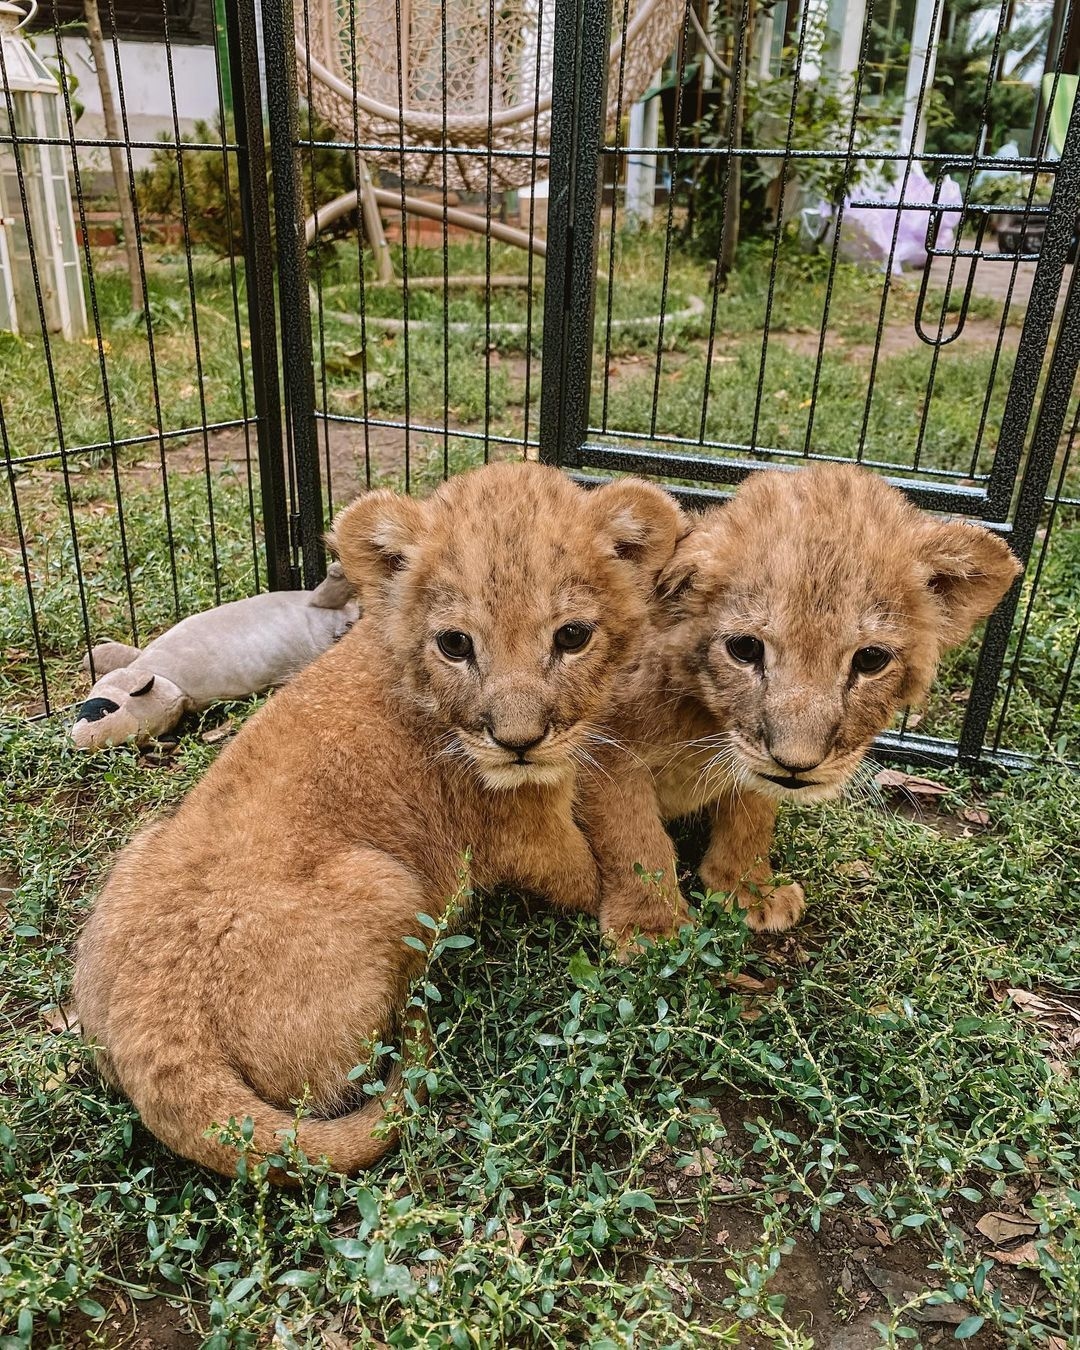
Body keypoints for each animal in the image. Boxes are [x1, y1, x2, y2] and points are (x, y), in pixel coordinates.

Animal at [73, 462, 682, 1178]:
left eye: (572, 637)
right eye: (455, 644)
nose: (518, 742)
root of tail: (155, 1032)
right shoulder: (524, 832)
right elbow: (584, 873)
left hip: (142, 847)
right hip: (387, 881)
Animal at [580, 463, 1022, 938]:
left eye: (870, 659)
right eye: (745, 649)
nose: (796, 764)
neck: (708, 719)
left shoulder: (752, 761)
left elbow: (753, 816)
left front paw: (750, 889)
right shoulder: (602, 753)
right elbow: (635, 839)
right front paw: (652, 927)